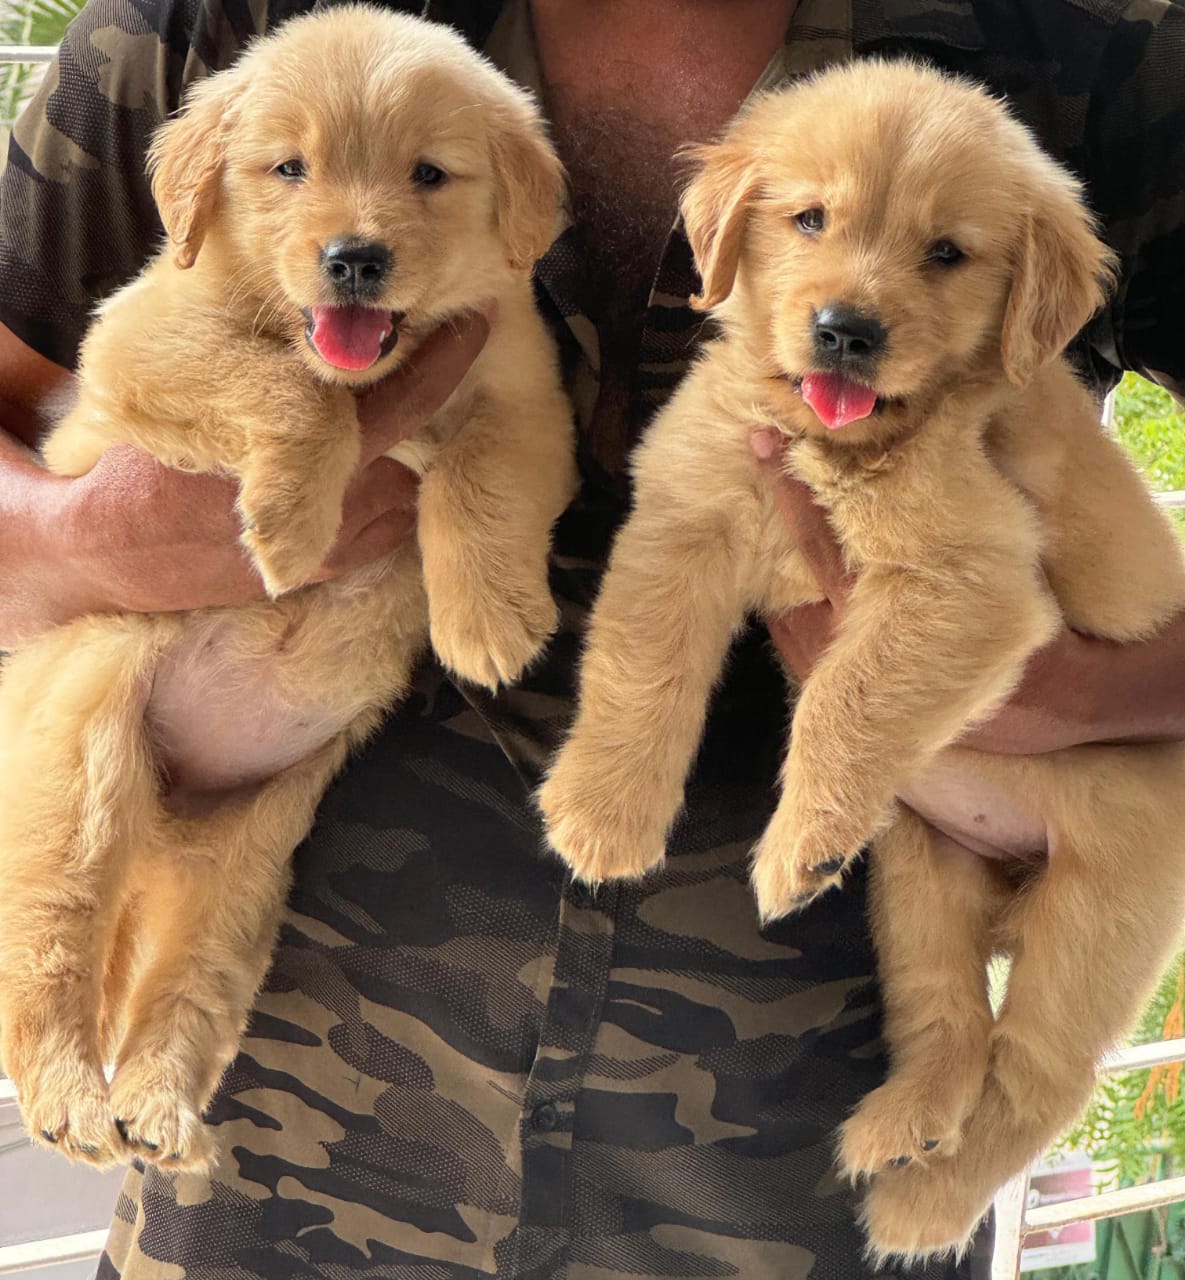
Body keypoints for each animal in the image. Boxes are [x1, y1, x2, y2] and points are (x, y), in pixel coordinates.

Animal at [0, 4, 576, 1173]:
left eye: (428, 173)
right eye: (289, 167)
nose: (355, 258)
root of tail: (163, 819)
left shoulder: (525, 392)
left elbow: (485, 477)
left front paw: (490, 621)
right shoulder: (145, 337)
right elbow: (283, 385)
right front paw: (296, 523)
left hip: (248, 864)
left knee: (187, 991)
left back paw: (160, 1111)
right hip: (78, 761)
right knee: (46, 940)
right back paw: (72, 1096)